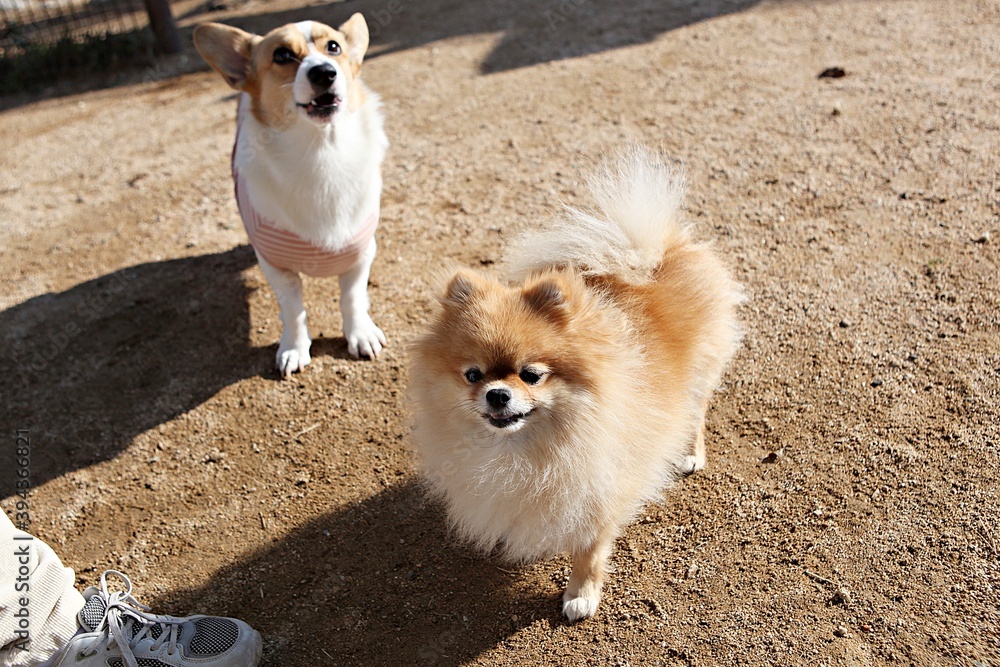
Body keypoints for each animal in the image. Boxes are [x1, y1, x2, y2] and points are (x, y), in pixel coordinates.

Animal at [194, 14, 386, 376]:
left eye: (334, 47)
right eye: (282, 55)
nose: (324, 71)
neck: (320, 154)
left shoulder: (361, 254)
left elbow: (351, 298)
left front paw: (360, 334)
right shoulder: (277, 267)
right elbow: (294, 311)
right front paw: (294, 349)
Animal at [406, 146, 744, 620]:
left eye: (531, 375)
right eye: (473, 375)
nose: (497, 394)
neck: (529, 445)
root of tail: (659, 249)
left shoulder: (599, 485)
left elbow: (589, 549)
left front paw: (581, 595)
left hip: (701, 372)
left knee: (694, 414)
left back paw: (689, 454)